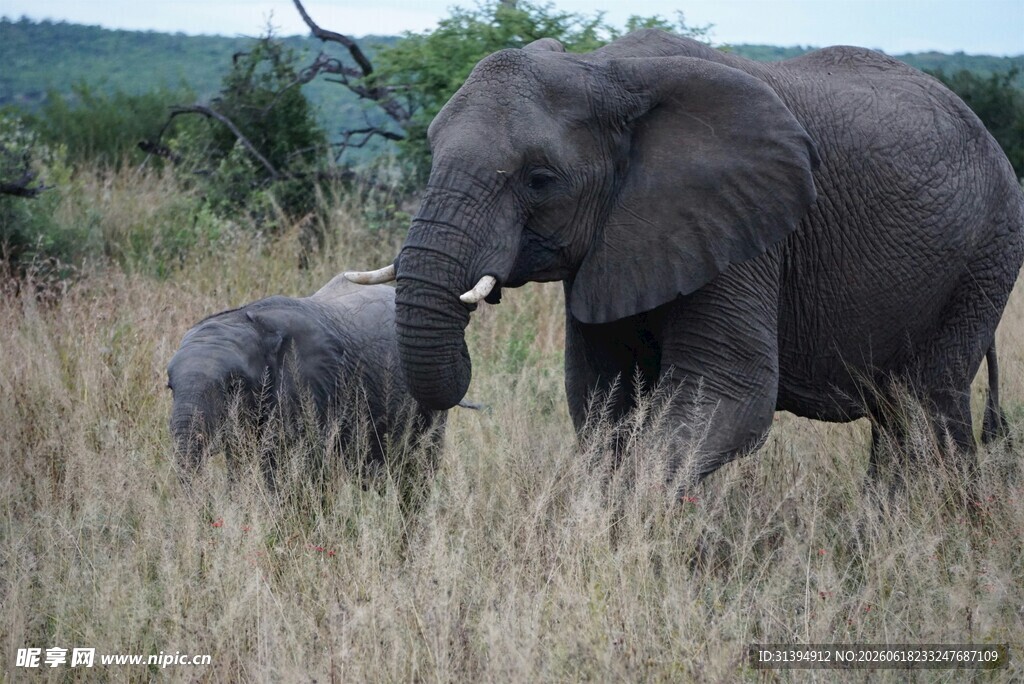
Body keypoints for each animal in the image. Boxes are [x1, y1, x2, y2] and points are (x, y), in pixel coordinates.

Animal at [346, 29, 1024, 485]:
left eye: (539, 180)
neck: (605, 69)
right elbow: (600, 397)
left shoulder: (745, 229)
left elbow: (727, 395)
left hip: (987, 254)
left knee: (925, 409)